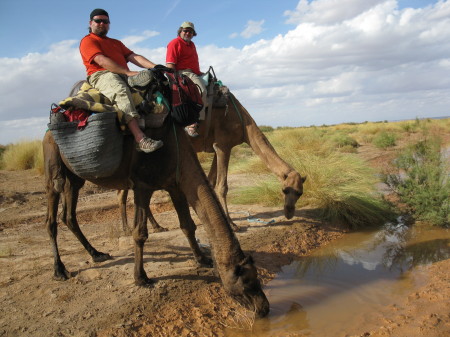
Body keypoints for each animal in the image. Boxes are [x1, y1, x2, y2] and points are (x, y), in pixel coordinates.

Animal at [44, 82, 270, 318]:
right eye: (246, 281)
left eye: (256, 275)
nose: (264, 308)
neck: (175, 148)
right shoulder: (142, 186)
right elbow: (140, 233)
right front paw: (141, 277)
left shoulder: (175, 184)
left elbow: (188, 225)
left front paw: (202, 258)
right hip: (52, 165)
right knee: (51, 215)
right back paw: (59, 270)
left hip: (75, 179)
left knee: (69, 216)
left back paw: (97, 254)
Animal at [118, 74, 306, 230]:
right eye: (284, 190)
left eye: (300, 192)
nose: (289, 213)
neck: (243, 123)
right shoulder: (223, 145)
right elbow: (222, 186)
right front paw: (232, 225)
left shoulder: (218, 148)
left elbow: (211, 181)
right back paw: (129, 229)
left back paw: (154, 227)